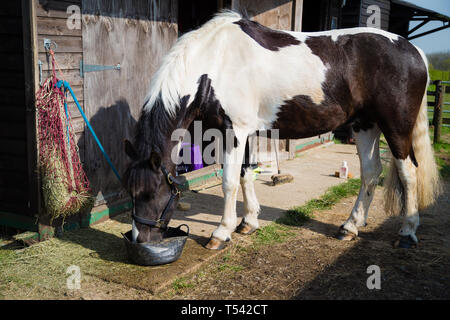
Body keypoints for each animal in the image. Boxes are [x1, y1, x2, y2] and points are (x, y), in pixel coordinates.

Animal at [122, 11, 440, 250]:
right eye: (130, 191)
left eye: (151, 192)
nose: (140, 239)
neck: (214, 64)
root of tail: (414, 51)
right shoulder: (243, 132)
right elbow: (245, 174)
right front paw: (248, 223)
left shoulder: (234, 132)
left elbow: (229, 182)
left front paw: (221, 233)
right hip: (365, 125)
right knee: (372, 172)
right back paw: (350, 227)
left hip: (396, 128)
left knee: (408, 173)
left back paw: (407, 232)